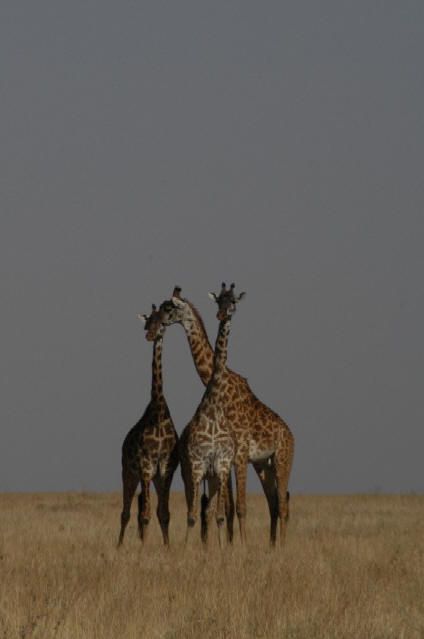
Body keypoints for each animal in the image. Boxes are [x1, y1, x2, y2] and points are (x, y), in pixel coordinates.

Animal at [117, 308, 179, 548]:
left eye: (163, 323)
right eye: (147, 323)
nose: (150, 336)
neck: (158, 412)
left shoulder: (166, 470)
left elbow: (164, 513)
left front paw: (168, 548)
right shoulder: (144, 466)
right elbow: (145, 514)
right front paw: (143, 550)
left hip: (153, 477)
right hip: (128, 472)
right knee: (126, 512)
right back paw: (119, 546)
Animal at [157, 288, 294, 548]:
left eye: (169, 308)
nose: (155, 321)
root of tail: (290, 434)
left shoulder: (237, 453)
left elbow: (238, 507)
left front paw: (238, 547)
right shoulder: (227, 460)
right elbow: (224, 509)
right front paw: (225, 546)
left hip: (283, 459)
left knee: (282, 504)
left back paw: (282, 546)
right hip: (264, 465)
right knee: (273, 504)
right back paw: (272, 546)